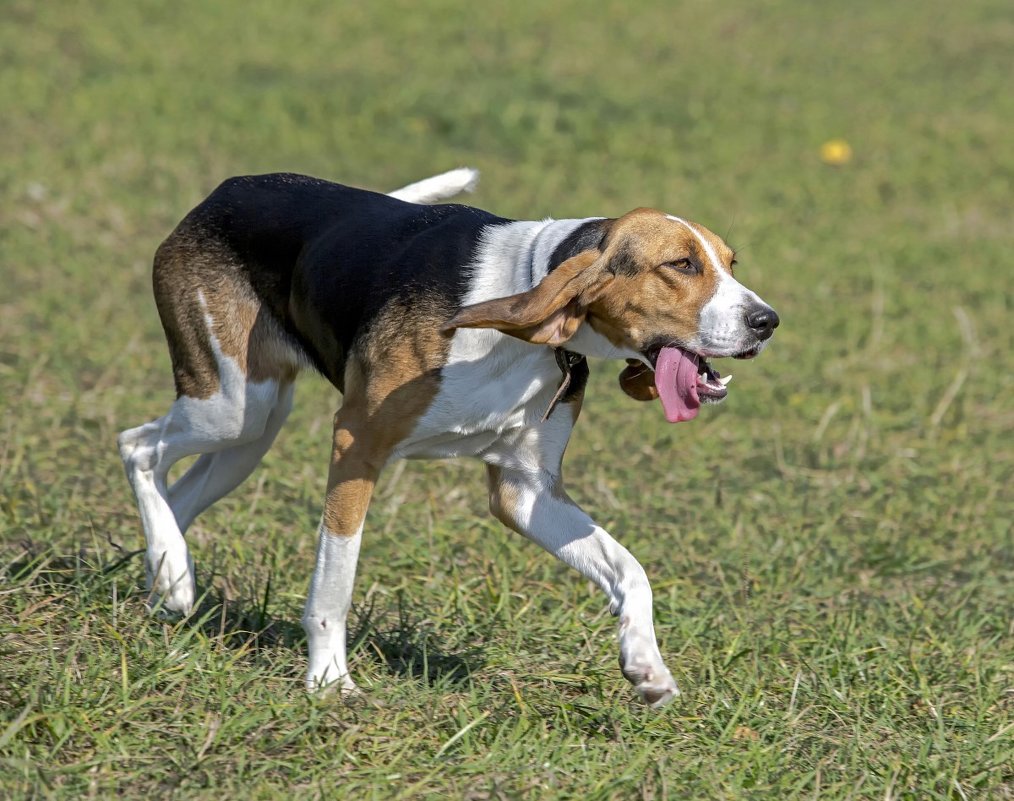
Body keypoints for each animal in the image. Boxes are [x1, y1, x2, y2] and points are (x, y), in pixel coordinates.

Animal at [120, 169, 782, 709]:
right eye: (682, 266)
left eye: (731, 263)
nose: (768, 321)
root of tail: (224, 191)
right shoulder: (357, 444)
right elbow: (335, 582)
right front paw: (329, 682)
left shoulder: (525, 491)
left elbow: (630, 570)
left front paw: (646, 667)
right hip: (232, 406)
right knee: (136, 446)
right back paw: (172, 574)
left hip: (250, 432)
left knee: (178, 495)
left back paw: (169, 581)